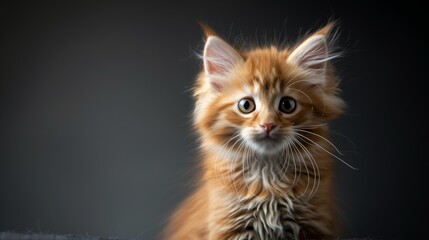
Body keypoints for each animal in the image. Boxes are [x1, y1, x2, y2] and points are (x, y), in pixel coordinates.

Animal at [164, 23, 344, 240]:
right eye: (246, 105)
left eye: (287, 105)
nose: (268, 125)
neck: (268, 179)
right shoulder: (230, 226)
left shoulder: (315, 223)